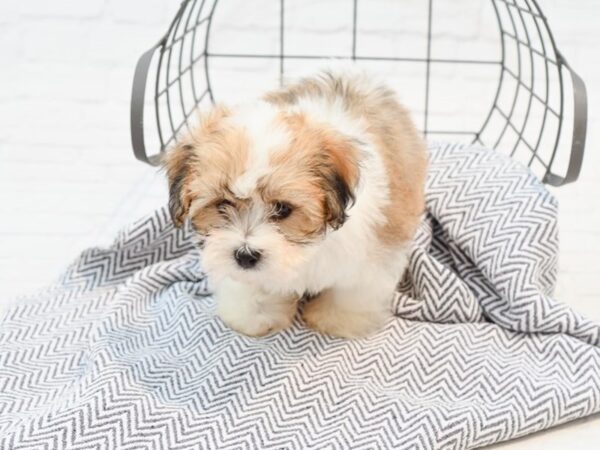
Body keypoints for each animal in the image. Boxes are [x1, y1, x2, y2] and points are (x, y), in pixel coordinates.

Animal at [164, 70, 426, 338]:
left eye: (282, 209)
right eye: (223, 204)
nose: (245, 256)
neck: (304, 253)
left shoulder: (370, 256)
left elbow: (351, 292)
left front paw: (335, 320)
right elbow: (250, 287)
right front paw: (255, 317)